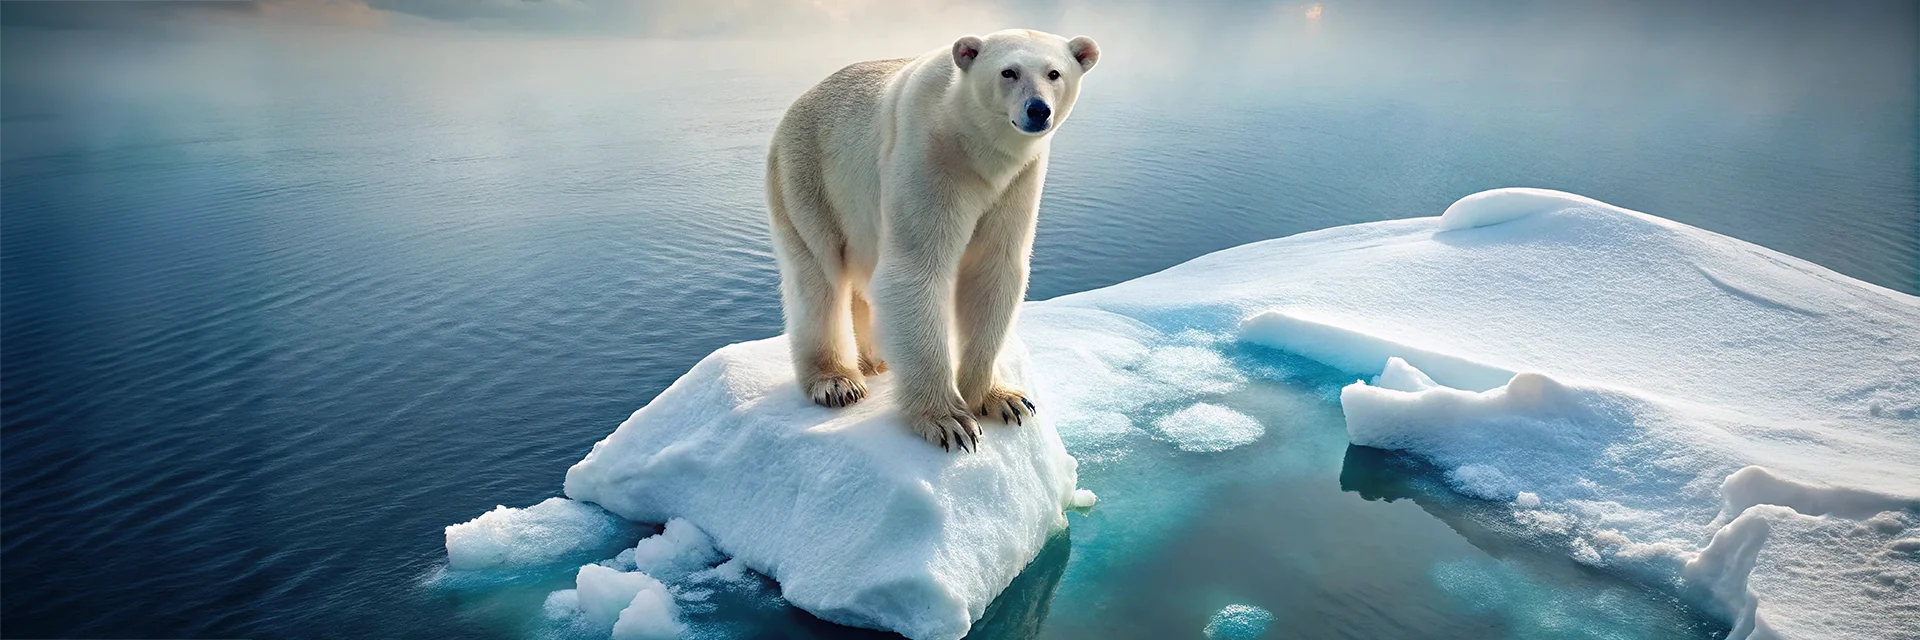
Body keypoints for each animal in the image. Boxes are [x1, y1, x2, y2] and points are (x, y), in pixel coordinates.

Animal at [760, 28, 1098, 447]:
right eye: (1009, 71)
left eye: (1054, 73)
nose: (1038, 110)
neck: (976, 146)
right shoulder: (932, 159)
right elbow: (915, 271)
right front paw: (948, 420)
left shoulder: (1017, 180)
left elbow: (994, 271)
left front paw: (1002, 399)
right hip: (808, 179)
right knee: (816, 279)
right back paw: (837, 381)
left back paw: (874, 361)